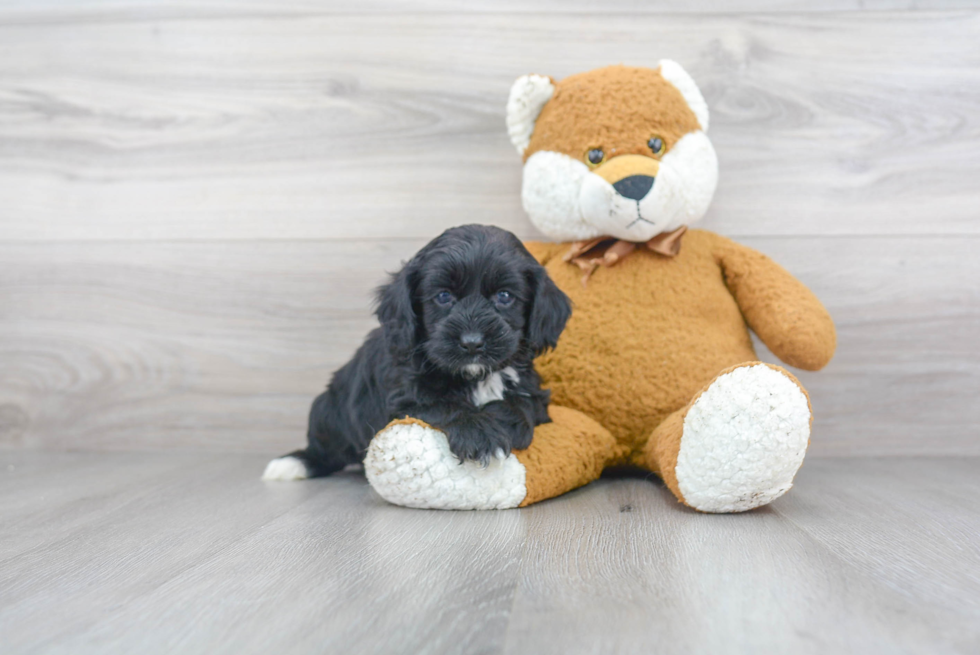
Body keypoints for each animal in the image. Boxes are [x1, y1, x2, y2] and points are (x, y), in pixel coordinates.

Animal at [262, 226, 576, 482]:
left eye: (505, 296)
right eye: (443, 296)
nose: (472, 342)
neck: (474, 377)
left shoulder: (532, 389)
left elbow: (522, 403)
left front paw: (501, 422)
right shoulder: (401, 399)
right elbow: (441, 404)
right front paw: (479, 433)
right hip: (327, 411)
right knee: (325, 450)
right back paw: (293, 464)